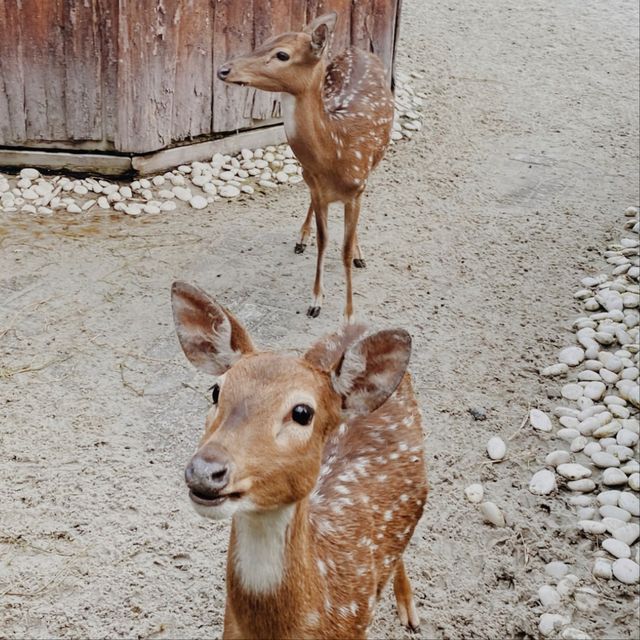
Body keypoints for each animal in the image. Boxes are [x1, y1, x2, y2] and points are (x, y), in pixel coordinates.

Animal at [216, 10, 396, 320]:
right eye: (263, 41)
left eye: (282, 54)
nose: (224, 70)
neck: (337, 150)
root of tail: (356, 49)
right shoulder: (318, 189)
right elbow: (324, 241)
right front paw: (315, 301)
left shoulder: (357, 187)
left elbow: (343, 249)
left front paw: (349, 312)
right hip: (309, 176)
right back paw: (302, 238)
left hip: (373, 164)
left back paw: (359, 254)